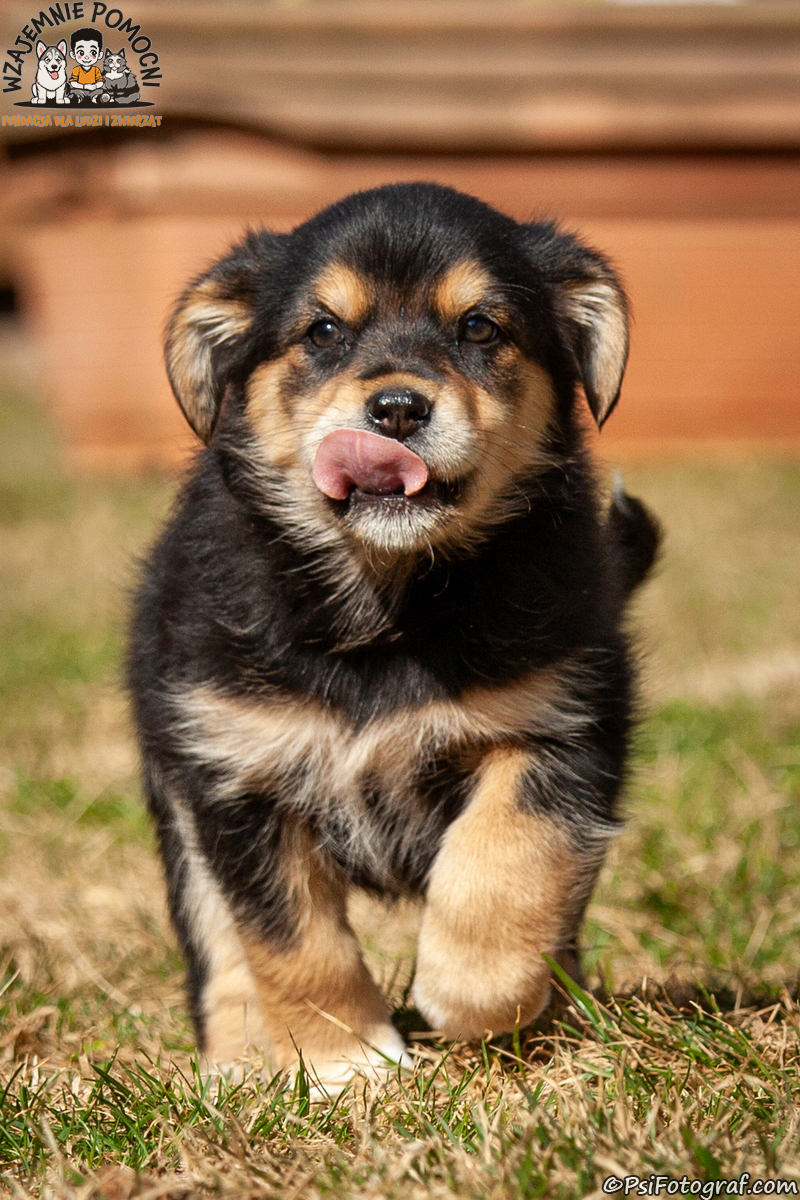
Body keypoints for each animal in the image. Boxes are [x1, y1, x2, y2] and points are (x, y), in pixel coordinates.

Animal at [129, 183, 660, 1092]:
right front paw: (344, 1064)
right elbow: (290, 939)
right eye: (323, 331)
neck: (388, 599)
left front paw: (473, 993)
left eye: (479, 328)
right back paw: (239, 1063)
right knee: (220, 946)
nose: (398, 408)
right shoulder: (237, 773)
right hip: (179, 807)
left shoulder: (564, 723)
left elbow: (507, 858)